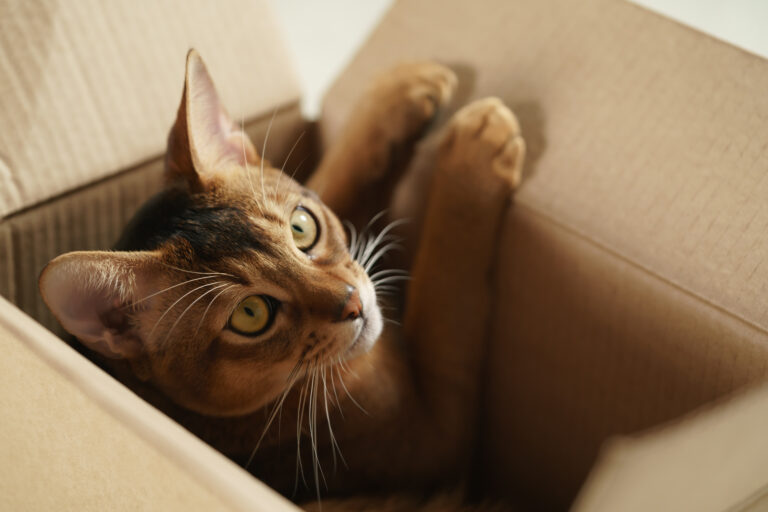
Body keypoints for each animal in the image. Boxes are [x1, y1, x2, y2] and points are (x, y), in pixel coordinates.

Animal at [39, 50, 524, 510]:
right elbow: (445, 284)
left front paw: (402, 85)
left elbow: (336, 170)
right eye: (251, 314)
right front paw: (477, 145)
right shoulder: (433, 436)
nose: (353, 303)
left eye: (302, 227)